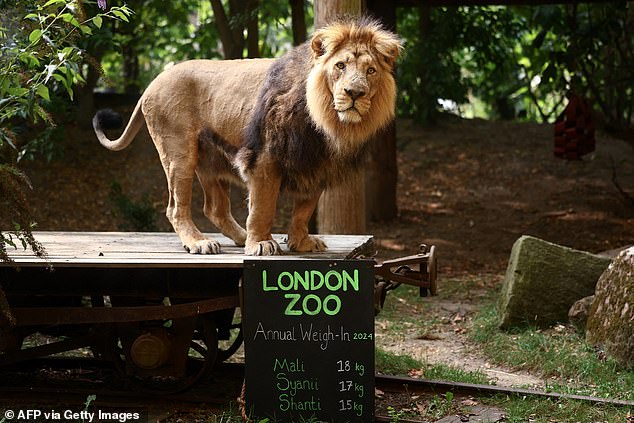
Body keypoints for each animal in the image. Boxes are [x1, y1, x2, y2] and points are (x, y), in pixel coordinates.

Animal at [92, 16, 400, 256]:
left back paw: (239, 238)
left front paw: (300, 242)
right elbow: (263, 207)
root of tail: (152, 83)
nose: (355, 93)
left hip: (211, 161)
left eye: (370, 70)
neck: (326, 123)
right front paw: (261, 244)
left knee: (214, 208)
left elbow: (305, 209)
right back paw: (200, 243)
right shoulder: (264, 158)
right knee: (176, 207)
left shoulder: (316, 164)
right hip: (179, 154)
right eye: (340, 66)